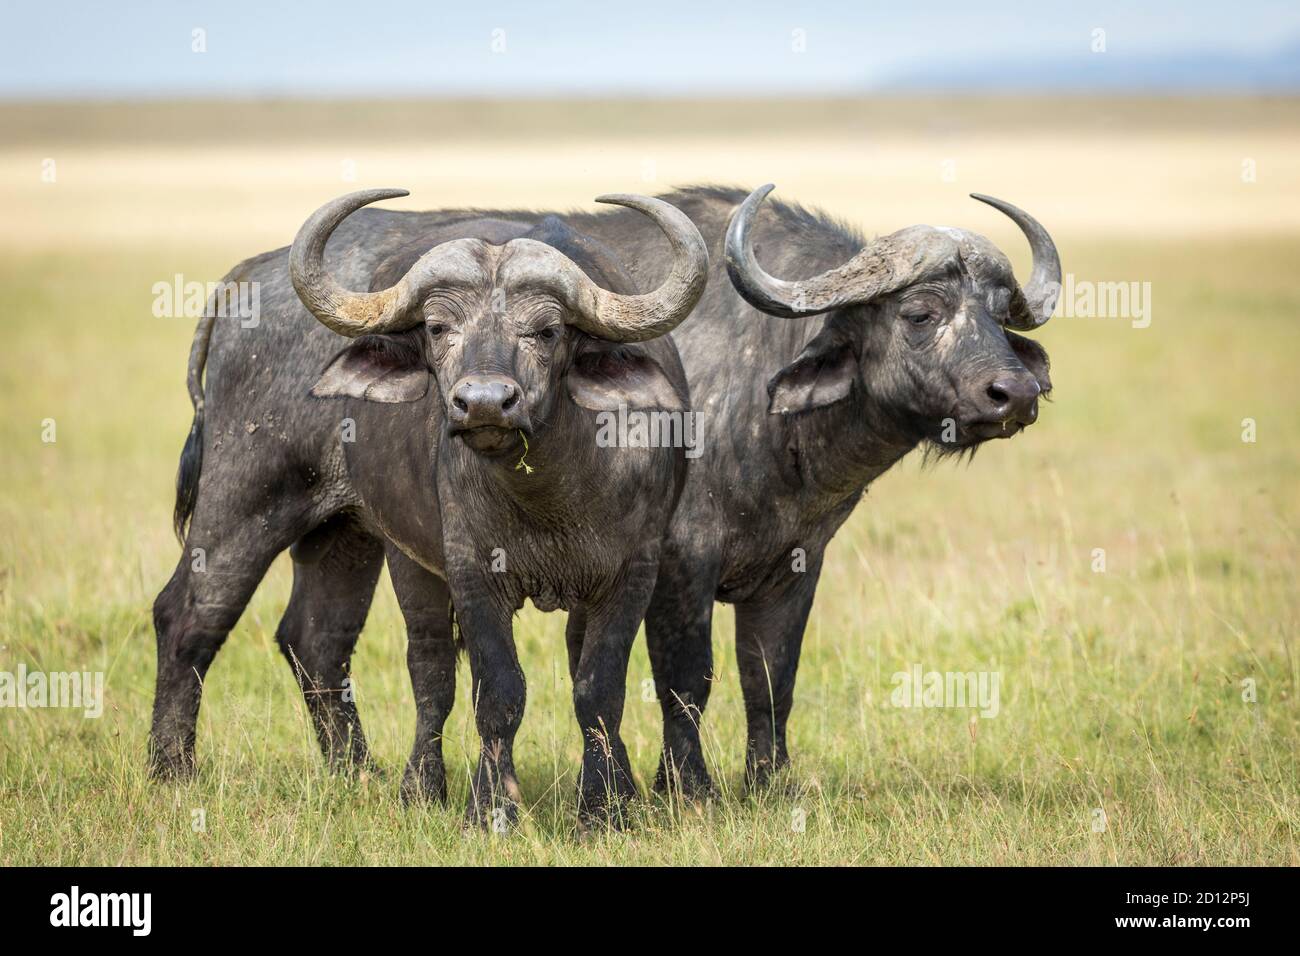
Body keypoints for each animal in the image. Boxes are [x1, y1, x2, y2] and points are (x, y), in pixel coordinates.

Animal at [152, 191, 712, 827]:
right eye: (439, 327)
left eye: (546, 331)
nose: (484, 402)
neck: (549, 494)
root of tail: (243, 280)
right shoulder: (471, 569)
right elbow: (498, 690)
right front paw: (492, 810)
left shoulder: (633, 571)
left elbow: (598, 689)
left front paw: (604, 807)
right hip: (255, 500)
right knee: (197, 617)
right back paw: (178, 770)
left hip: (347, 533)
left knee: (317, 639)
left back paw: (359, 774)